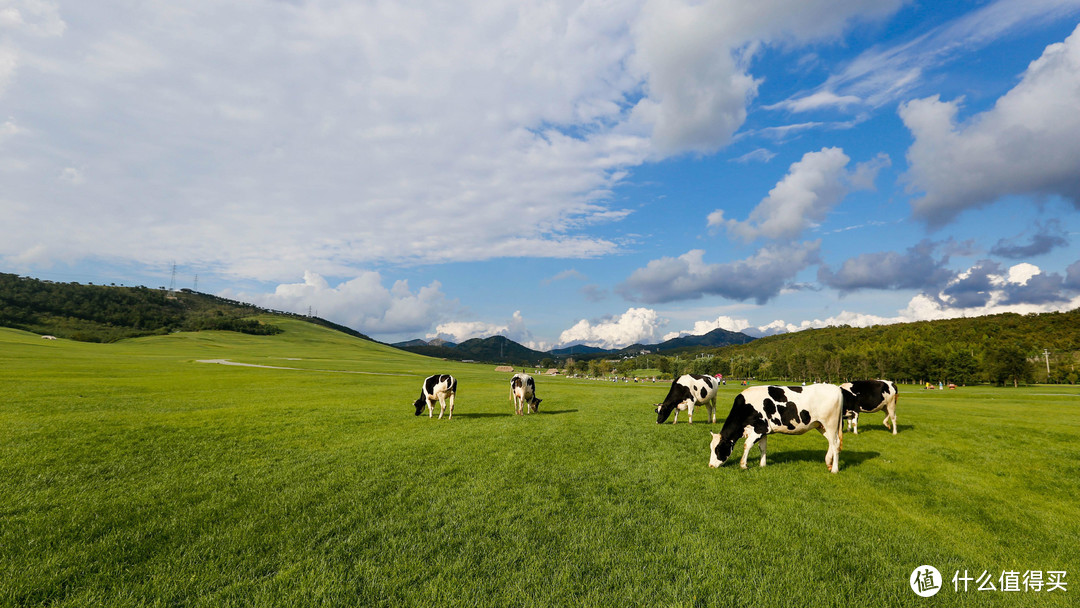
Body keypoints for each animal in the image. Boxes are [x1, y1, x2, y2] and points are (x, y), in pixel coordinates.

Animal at [704, 382, 846, 473]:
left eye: (718, 449)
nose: (710, 465)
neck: (745, 407)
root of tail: (835, 387)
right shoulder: (763, 430)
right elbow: (762, 447)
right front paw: (762, 465)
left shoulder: (759, 428)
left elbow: (747, 445)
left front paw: (743, 465)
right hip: (821, 425)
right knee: (832, 442)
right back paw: (828, 463)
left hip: (831, 423)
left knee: (835, 443)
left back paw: (834, 469)